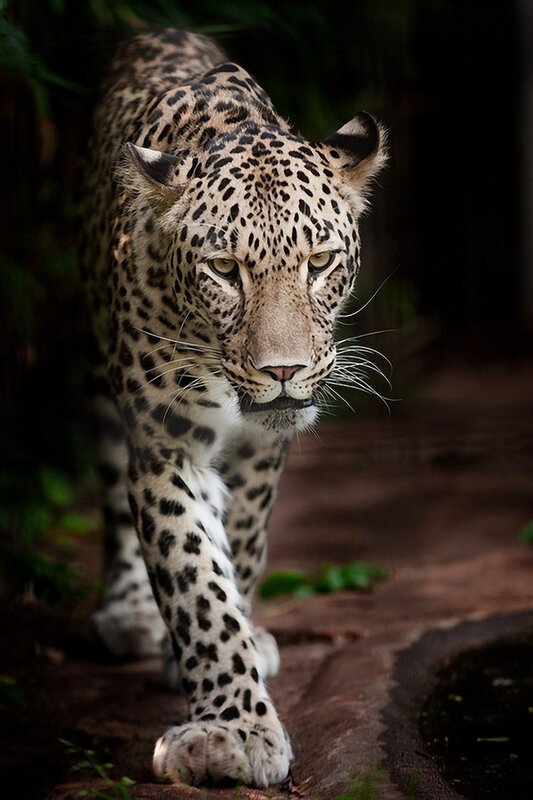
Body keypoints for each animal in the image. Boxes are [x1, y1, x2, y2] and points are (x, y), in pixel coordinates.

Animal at [80, 27, 386, 789]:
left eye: (319, 262)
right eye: (224, 269)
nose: (283, 371)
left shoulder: (261, 448)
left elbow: (240, 545)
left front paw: (239, 646)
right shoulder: (164, 443)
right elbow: (194, 579)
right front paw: (234, 732)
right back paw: (129, 612)